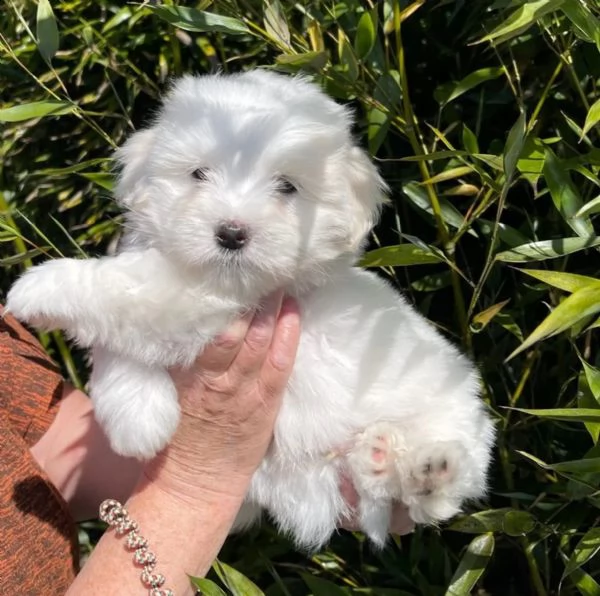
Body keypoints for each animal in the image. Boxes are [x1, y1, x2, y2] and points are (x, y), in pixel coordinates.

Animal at [7, 71, 492, 548]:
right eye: (199, 174)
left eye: (287, 186)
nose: (231, 233)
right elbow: (118, 347)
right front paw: (139, 418)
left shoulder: (206, 298)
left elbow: (122, 288)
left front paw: (39, 287)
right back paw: (377, 456)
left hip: (451, 418)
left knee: (440, 495)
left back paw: (428, 467)